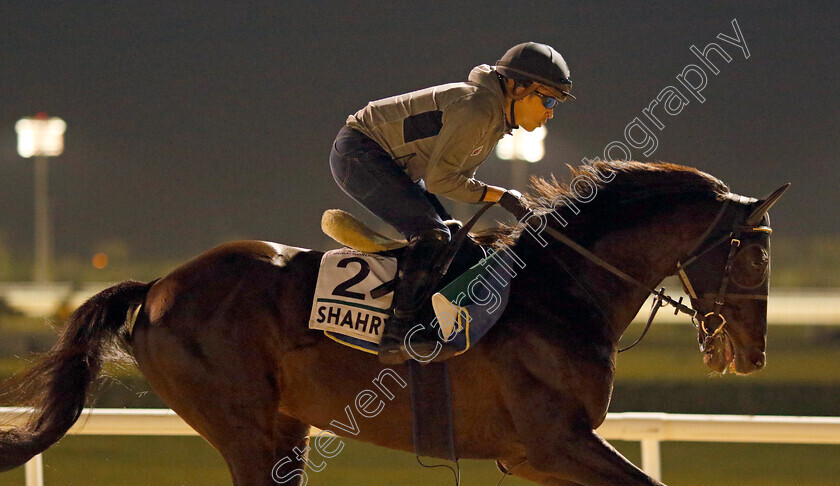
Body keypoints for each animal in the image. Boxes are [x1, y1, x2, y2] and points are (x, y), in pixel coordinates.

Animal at [0, 161, 788, 484]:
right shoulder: (551, 444)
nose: (752, 354)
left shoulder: (542, 456)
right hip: (244, 430)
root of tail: (160, 285)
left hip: (283, 431)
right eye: (754, 253)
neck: (561, 288)